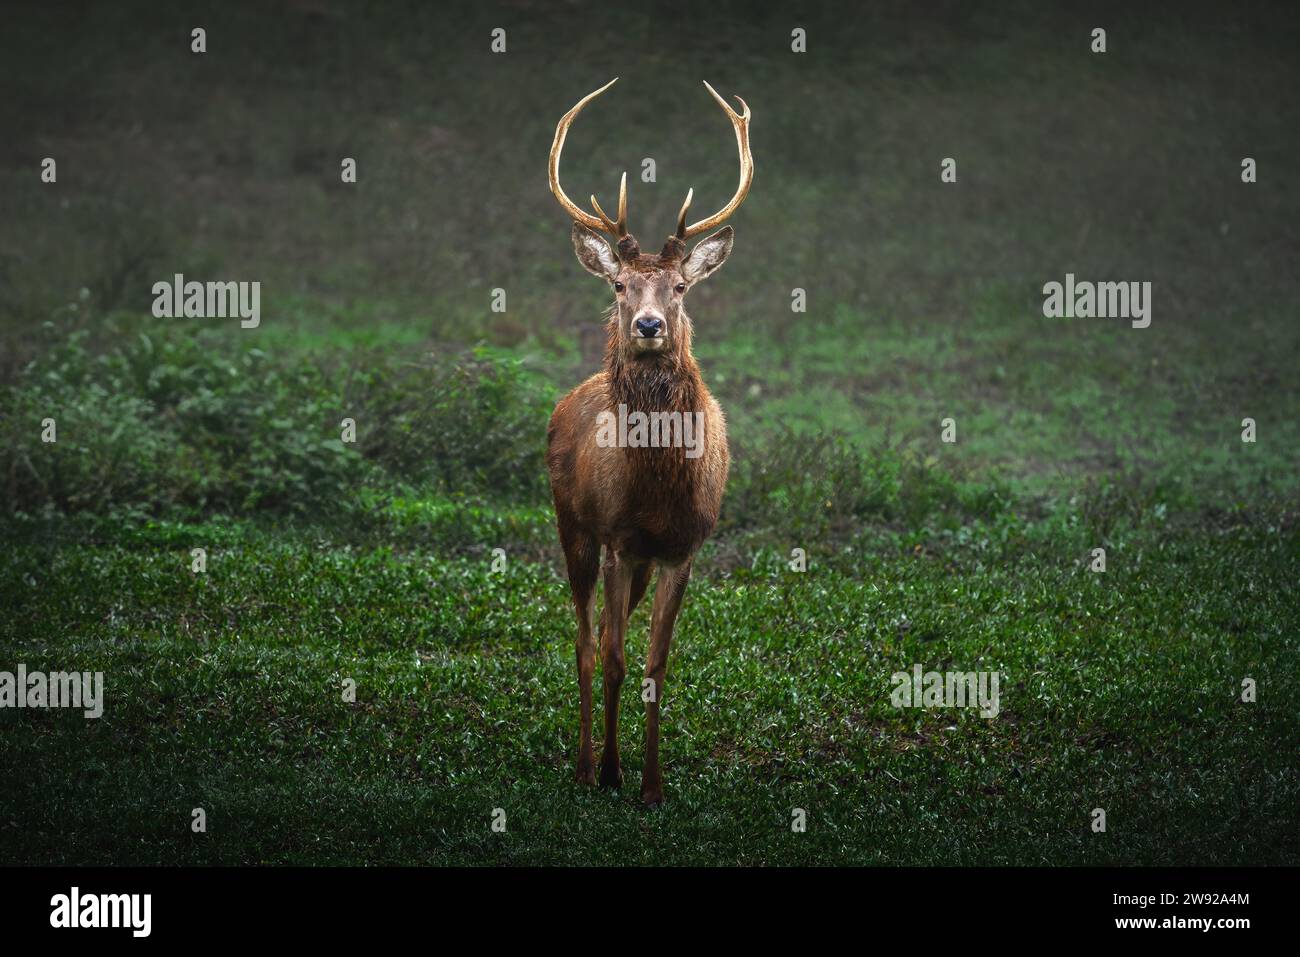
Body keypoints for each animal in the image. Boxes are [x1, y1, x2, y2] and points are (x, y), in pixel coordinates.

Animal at [546, 78, 754, 806]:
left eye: (681, 285)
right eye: (619, 283)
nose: (647, 323)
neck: (661, 484)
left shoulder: (682, 549)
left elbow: (655, 662)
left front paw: (653, 784)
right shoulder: (614, 536)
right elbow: (611, 656)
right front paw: (610, 771)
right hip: (572, 527)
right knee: (584, 641)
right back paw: (582, 764)